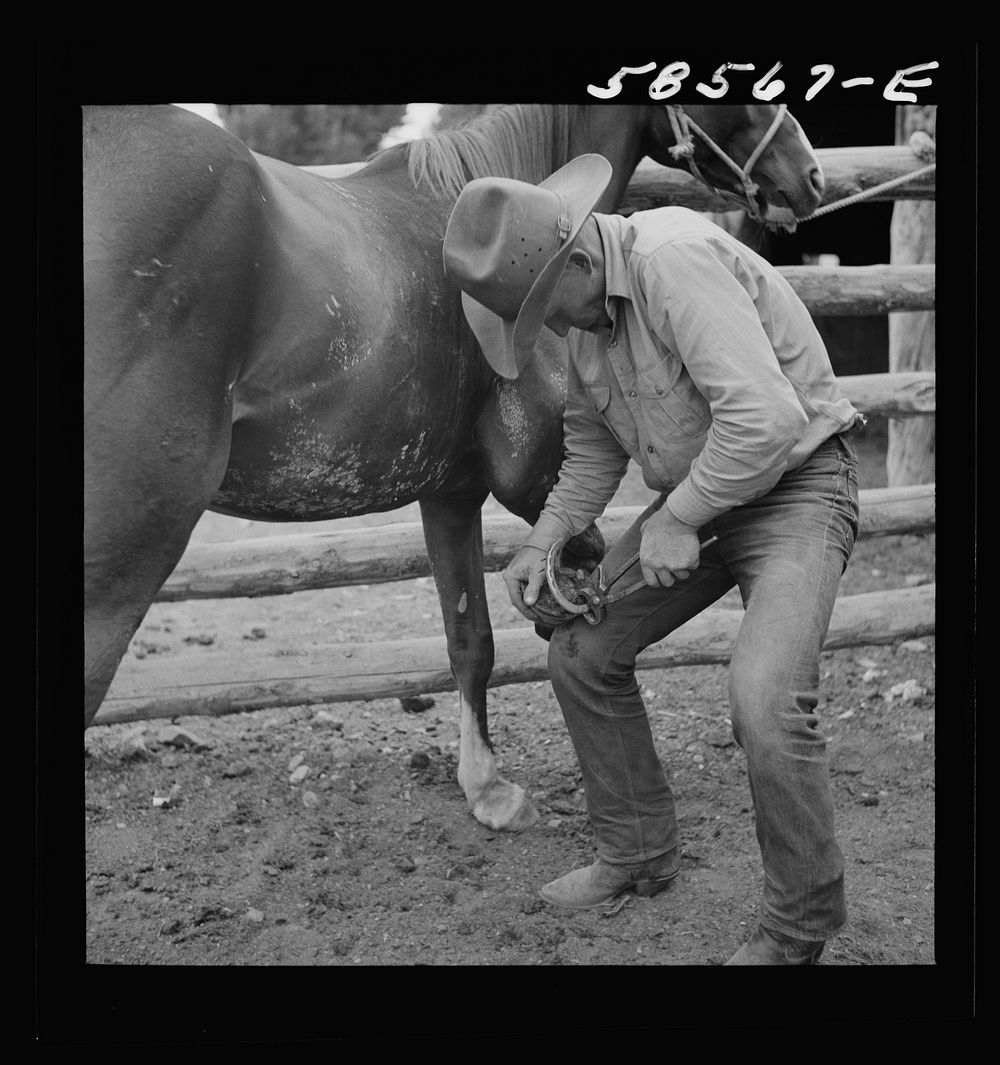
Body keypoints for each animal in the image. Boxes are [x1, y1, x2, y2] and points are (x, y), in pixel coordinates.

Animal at [84, 100, 822, 830]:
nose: (807, 175)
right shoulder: (523, 475)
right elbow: (570, 552)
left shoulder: (449, 492)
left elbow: (469, 638)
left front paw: (482, 785)